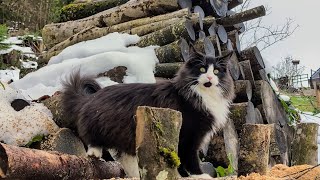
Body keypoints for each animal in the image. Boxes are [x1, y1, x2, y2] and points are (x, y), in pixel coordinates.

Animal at [62, 45, 235, 178]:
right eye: (202, 69)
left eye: (216, 71)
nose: (210, 78)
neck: (200, 95)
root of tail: (90, 98)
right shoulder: (189, 134)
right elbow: (189, 157)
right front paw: (199, 175)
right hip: (101, 125)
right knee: (91, 139)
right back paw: (94, 153)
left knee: (126, 158)